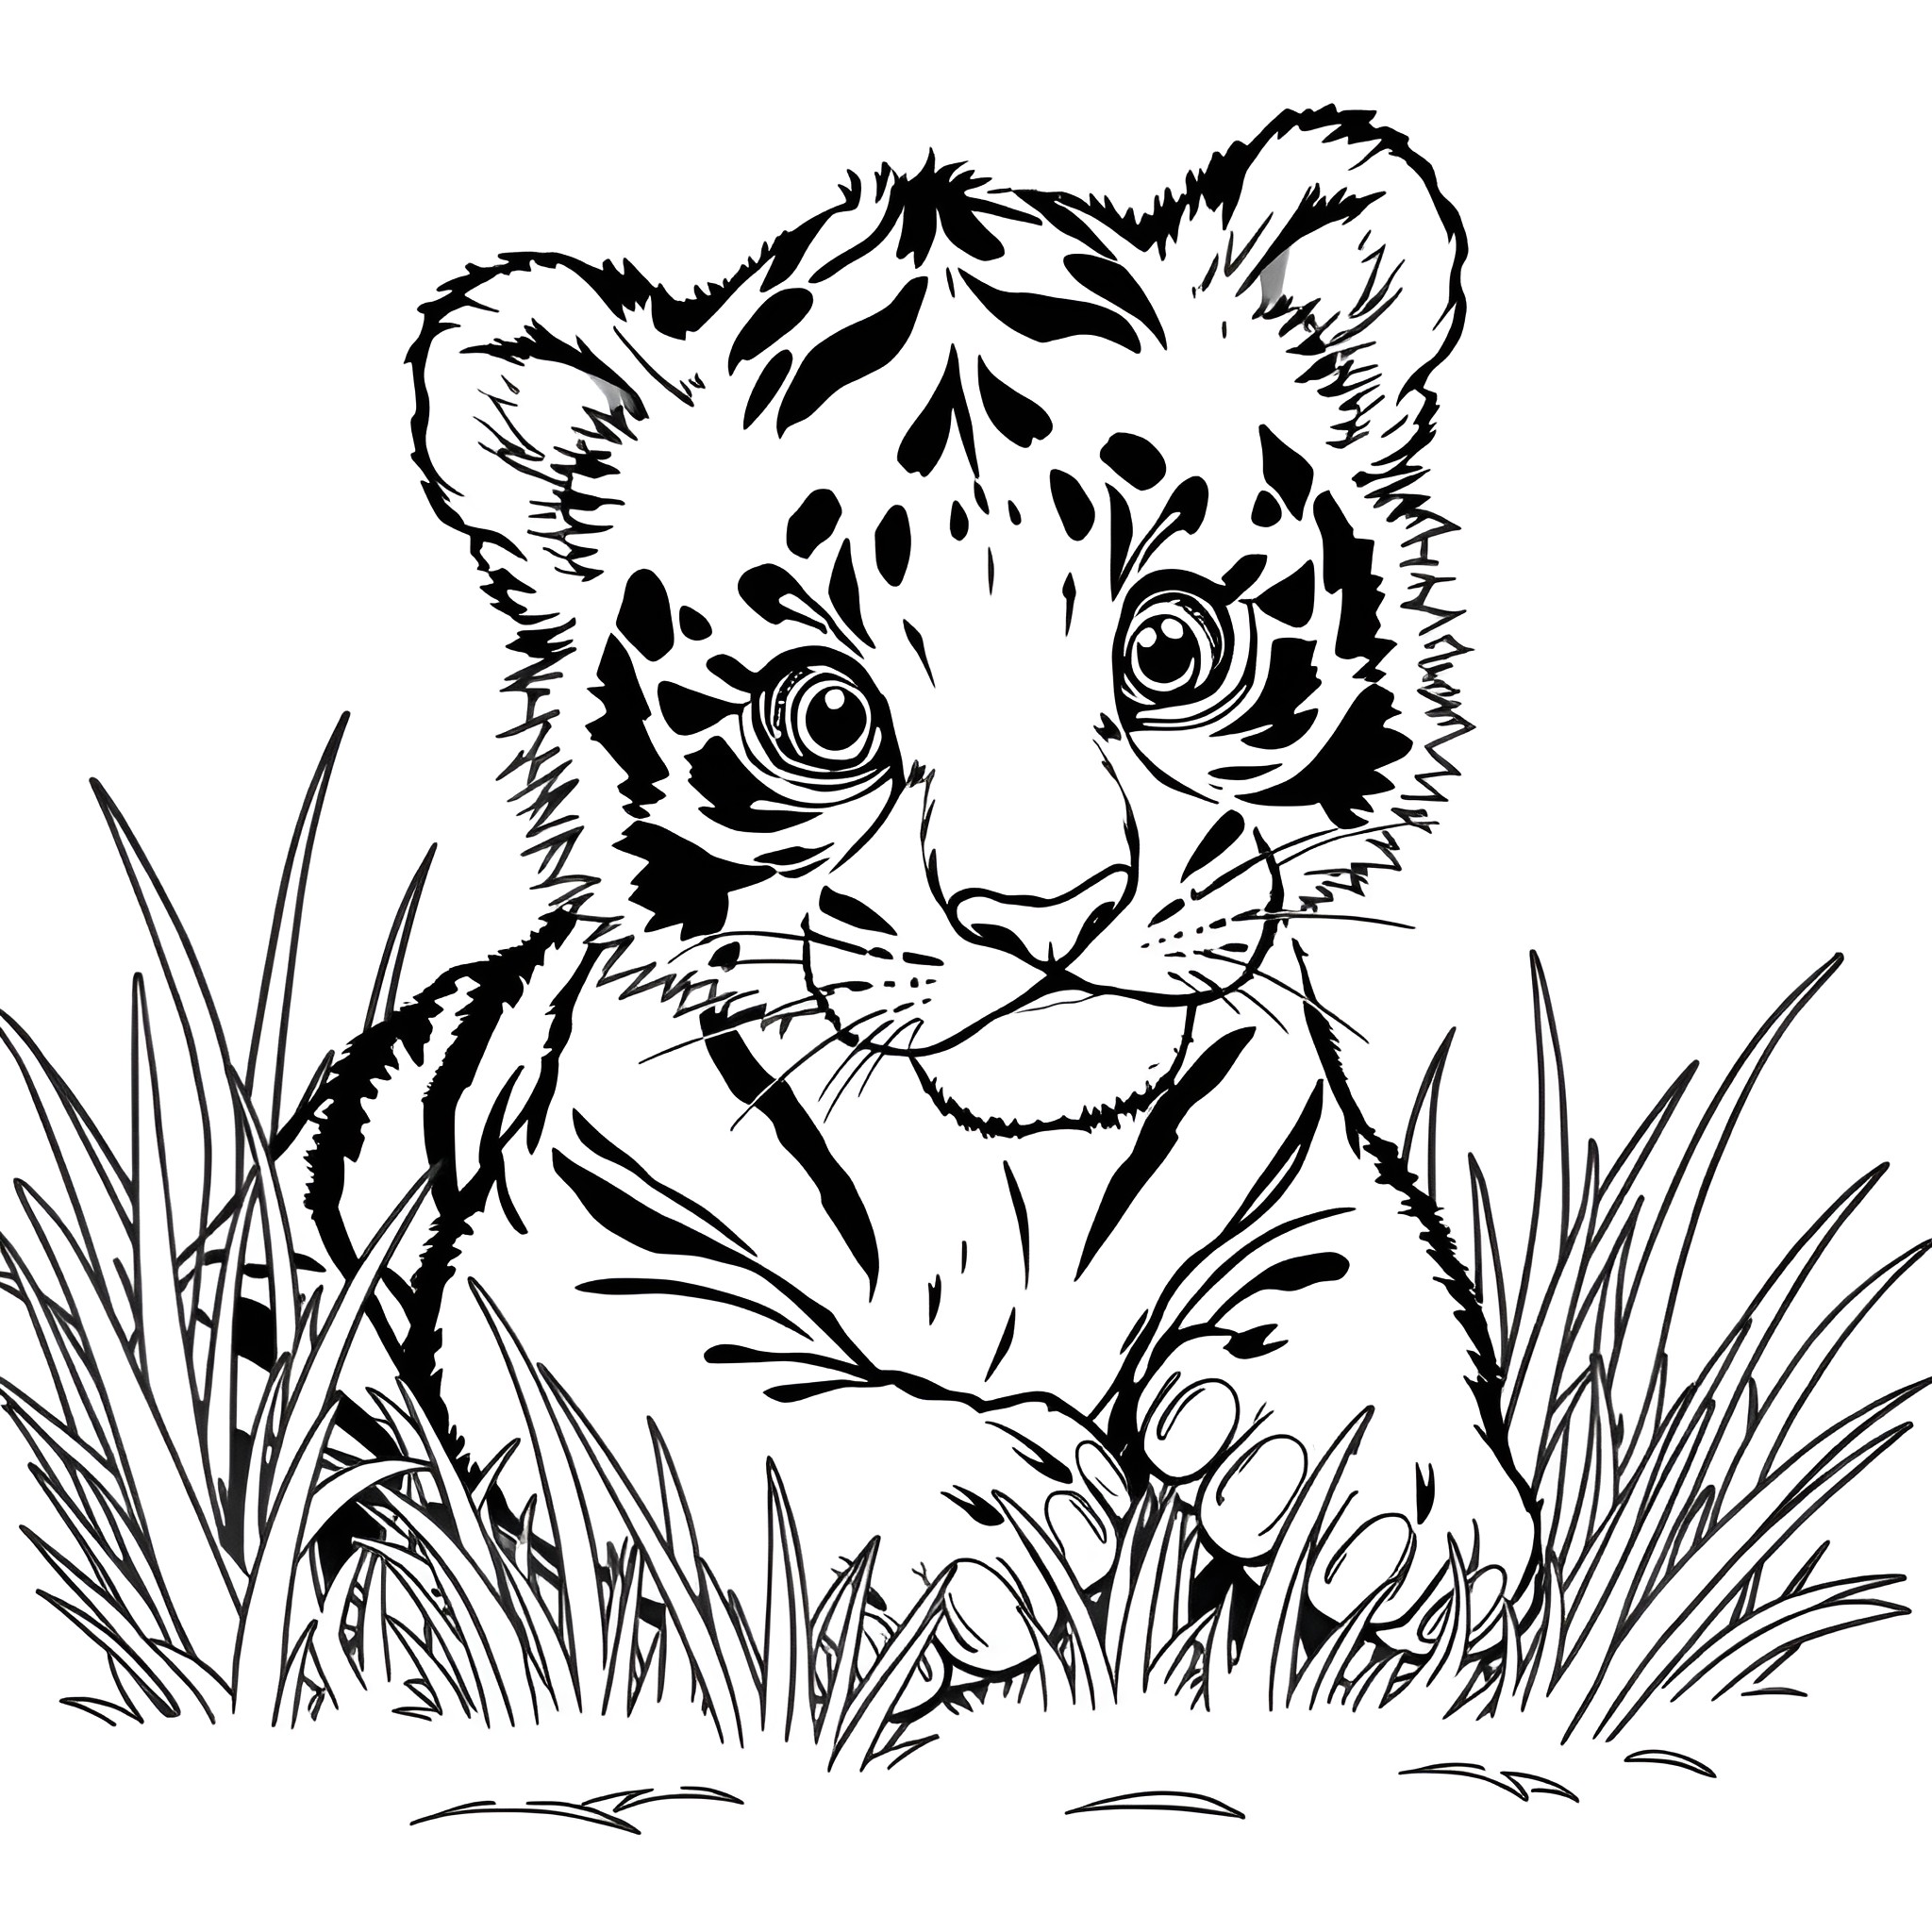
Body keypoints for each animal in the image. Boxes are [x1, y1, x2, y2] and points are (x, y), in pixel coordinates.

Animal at [299, 106, 1538, 1687]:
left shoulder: (1316, 1168)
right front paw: (984, 1526)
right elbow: (733, 1386)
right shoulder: (561, 1264)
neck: (1008, 1184)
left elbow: (1349, 1275)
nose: (1044, 908)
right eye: (825, 716)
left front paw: (1394, 1508)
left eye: (1172, 648)